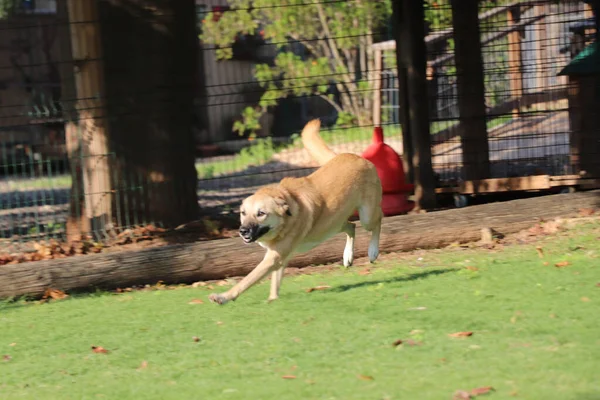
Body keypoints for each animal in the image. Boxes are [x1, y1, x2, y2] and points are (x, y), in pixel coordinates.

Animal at [209, 118, 382, 304]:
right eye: (243, 213)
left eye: (261, 213)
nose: (242, 231)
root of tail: (355, 157)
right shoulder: (280, 256)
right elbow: (275, 281)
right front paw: (273, 299)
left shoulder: (273, 257)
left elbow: (247, 280)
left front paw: (224, 297)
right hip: (330, 226)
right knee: (351, 226)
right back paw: (347, 256)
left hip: (366, 216)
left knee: (378, 219)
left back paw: (373, 251)